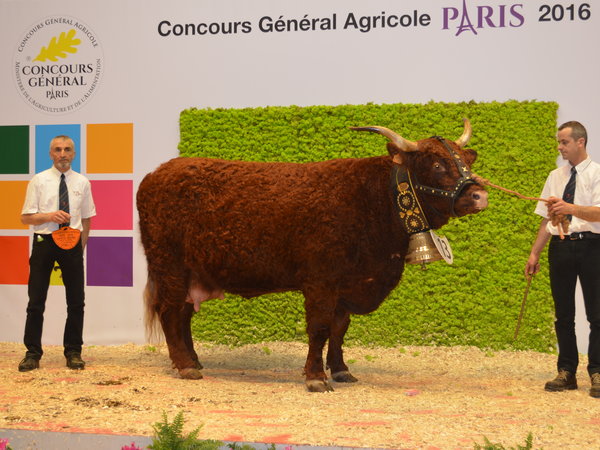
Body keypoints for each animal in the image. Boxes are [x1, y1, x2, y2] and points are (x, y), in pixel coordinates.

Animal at [139, 118, 488, 390]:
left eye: (466, 162)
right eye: (436, 164)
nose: (479, 194)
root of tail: (158, 172)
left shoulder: (346, 285)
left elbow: (339, 329)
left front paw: (342, 370)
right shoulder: (321, 281)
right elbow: (319, 328)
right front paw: (316, 377)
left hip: (191, 272)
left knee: (184, 314)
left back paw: (193, 361)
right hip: (169, 265)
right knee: (170, 312)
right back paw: (185, 366)